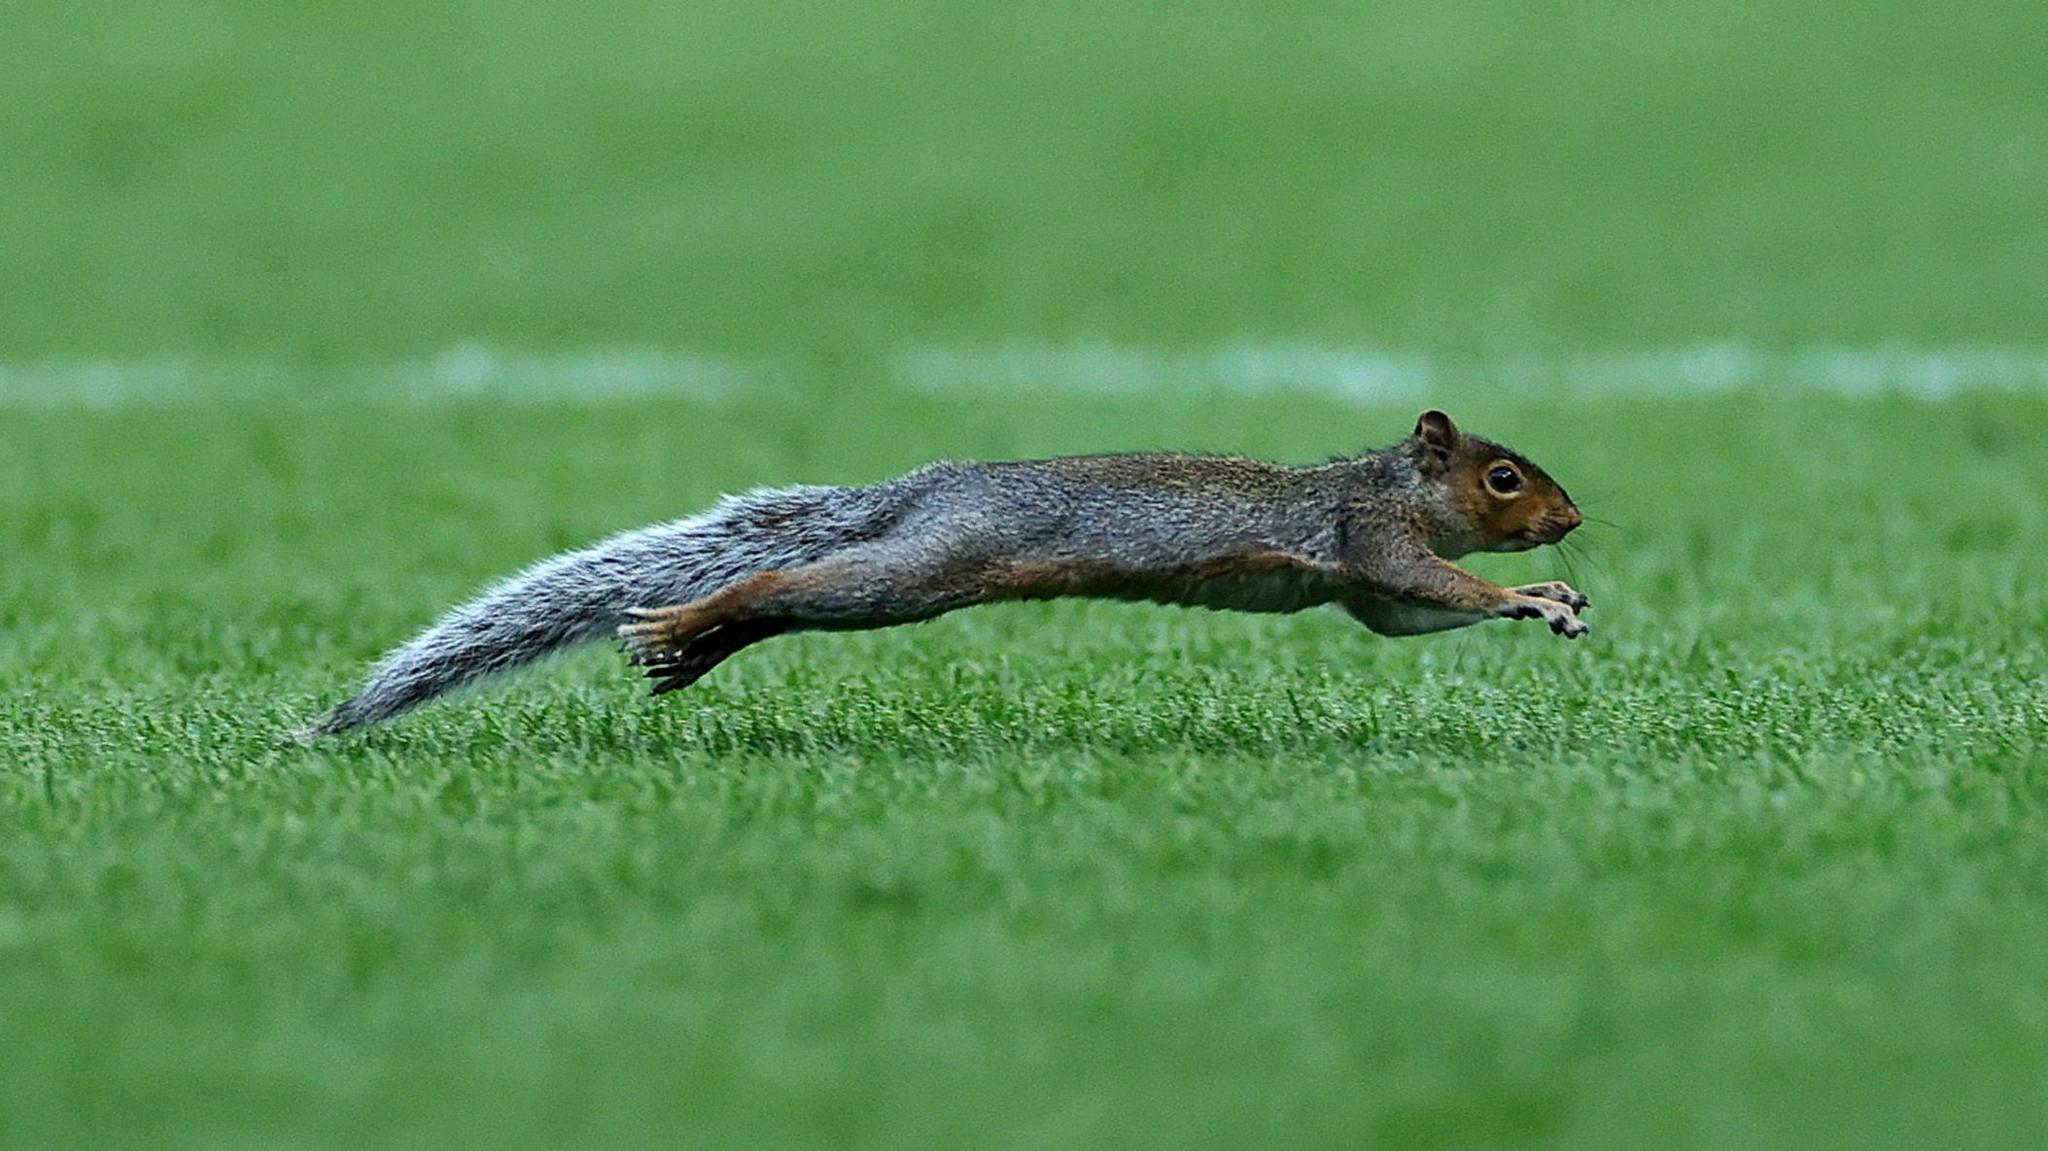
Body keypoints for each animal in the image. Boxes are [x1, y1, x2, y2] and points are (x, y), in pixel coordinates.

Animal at [299, 407, 1581, 733]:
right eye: (1502, 476)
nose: (1572, 518)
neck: (1384, 479)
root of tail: (927, 486)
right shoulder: (1372, 539)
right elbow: (1439, 588)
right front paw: (1531, 594)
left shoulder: (1365, 590)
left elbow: (1403, 622)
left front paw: (1556, 597)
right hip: (923, 571)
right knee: (786, 589)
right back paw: (687, 621)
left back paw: (695, 648)